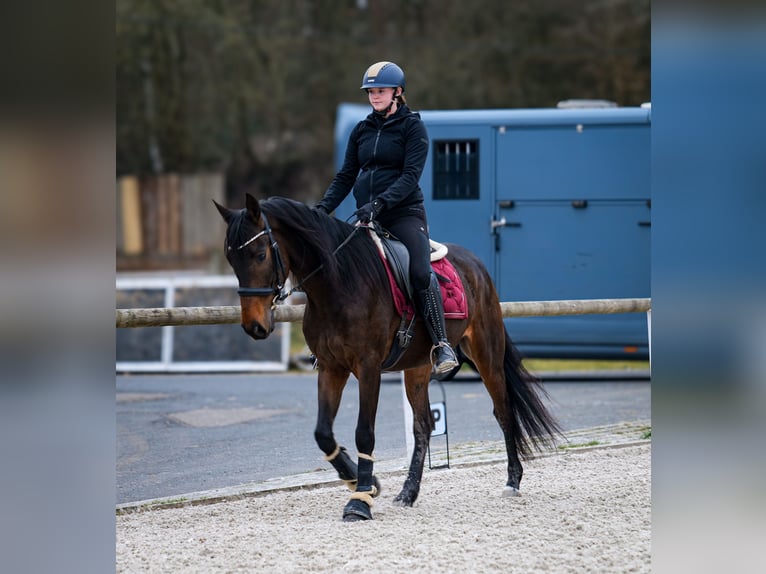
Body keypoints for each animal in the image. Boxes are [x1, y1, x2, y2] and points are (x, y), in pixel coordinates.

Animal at [213, 196, 560, 524]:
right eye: (231, 259)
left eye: (259, 254)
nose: (254, 326)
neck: (338, 284)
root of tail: (476, 264)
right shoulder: (331, 367)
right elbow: (323, 433)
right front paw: (359, 480)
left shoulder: (368, 368)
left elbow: (364, 432)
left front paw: (360, 501)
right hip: (418, 368)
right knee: (423, 425)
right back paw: (408, 493)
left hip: (486, 354)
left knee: (503, 411)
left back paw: (512, 481)